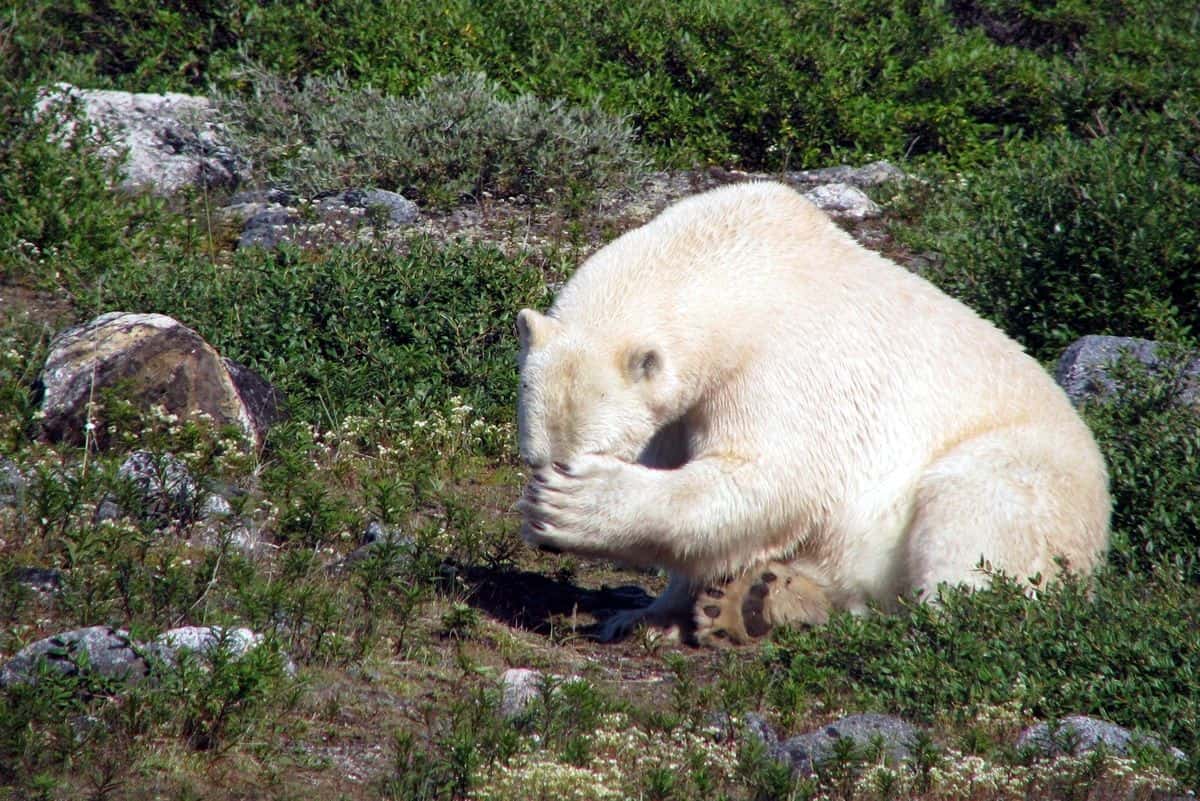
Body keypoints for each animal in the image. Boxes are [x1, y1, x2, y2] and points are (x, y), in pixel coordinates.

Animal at [511, 181, 1108, 642]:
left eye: (591, 456)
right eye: (533, 457)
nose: (548, 538)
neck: (736, 266)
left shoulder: (781, 362)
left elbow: (776, 477)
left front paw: (578, 508)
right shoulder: (683, 407)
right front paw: (645, 617)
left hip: (1030, 483)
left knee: (974, 519)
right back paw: (758, 598)